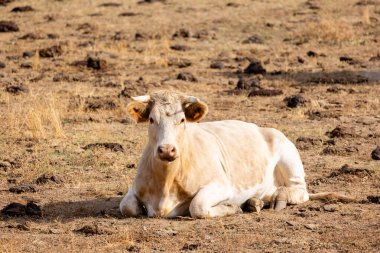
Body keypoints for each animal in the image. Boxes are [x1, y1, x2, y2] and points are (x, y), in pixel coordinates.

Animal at [120, 91, 352, 219]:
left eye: (182, 120)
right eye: (152, 119)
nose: (167, 149)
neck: (167, 181)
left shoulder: (222, 186)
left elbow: (198, 206)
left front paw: (232, 207)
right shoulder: (134, 189)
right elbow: (127, 206)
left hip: (289, 156)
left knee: (301, 191)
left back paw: (278, 197)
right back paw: (255, 202)